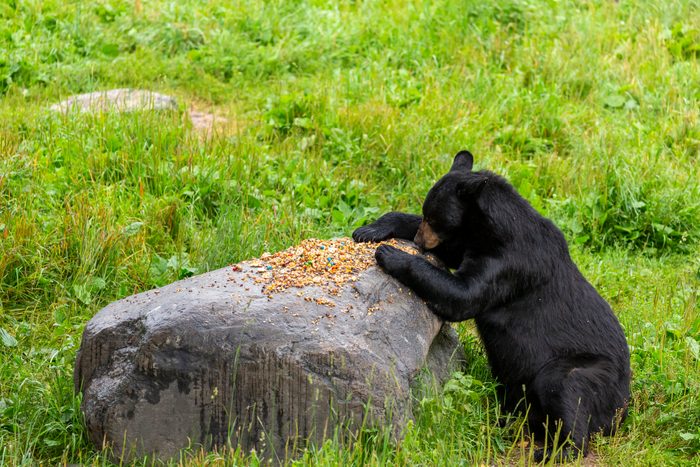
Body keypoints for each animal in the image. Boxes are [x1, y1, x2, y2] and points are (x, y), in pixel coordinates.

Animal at [353, 151, 631, 461]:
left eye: (434, 218)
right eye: (426, 214)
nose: (419, 242)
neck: (494, 229)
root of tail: (623, 407)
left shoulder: (511, 263)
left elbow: (463, 295)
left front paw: (391, 254)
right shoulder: (472, 243)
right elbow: (452, 253)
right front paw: (371, 229)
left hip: (588, 373)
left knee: (567, 391)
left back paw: (552, 450)